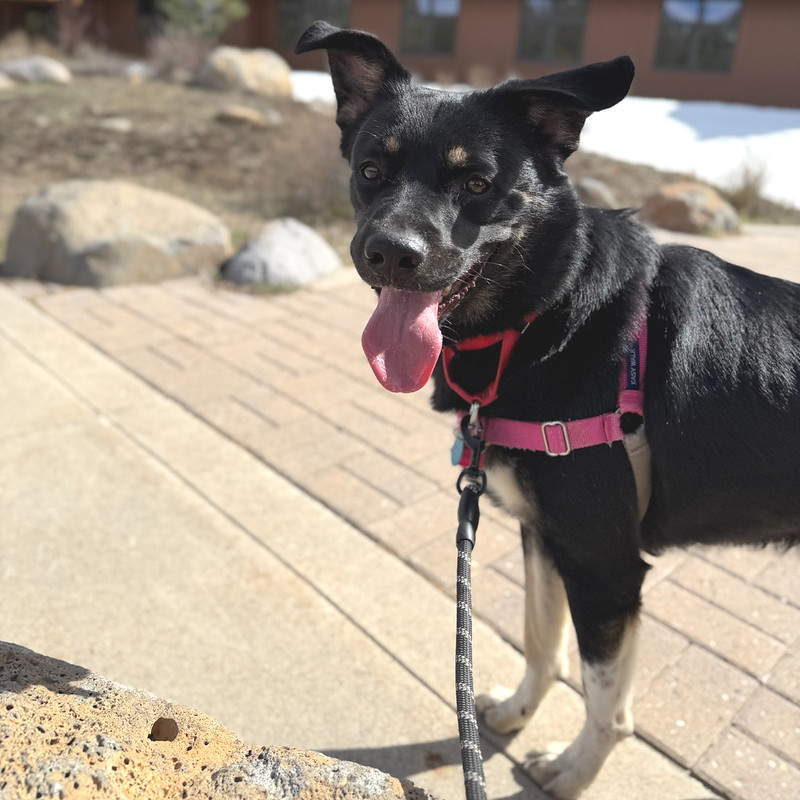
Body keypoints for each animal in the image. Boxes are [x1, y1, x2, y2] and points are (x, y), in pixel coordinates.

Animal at [296, 21, 800, 799]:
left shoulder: (604, 563)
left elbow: (605, 701)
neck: (549, 314)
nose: (389, 253)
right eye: (372, 169)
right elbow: (541, 641)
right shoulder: (544, 534)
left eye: (478, 184)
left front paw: (572, 770)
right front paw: (514, 712)